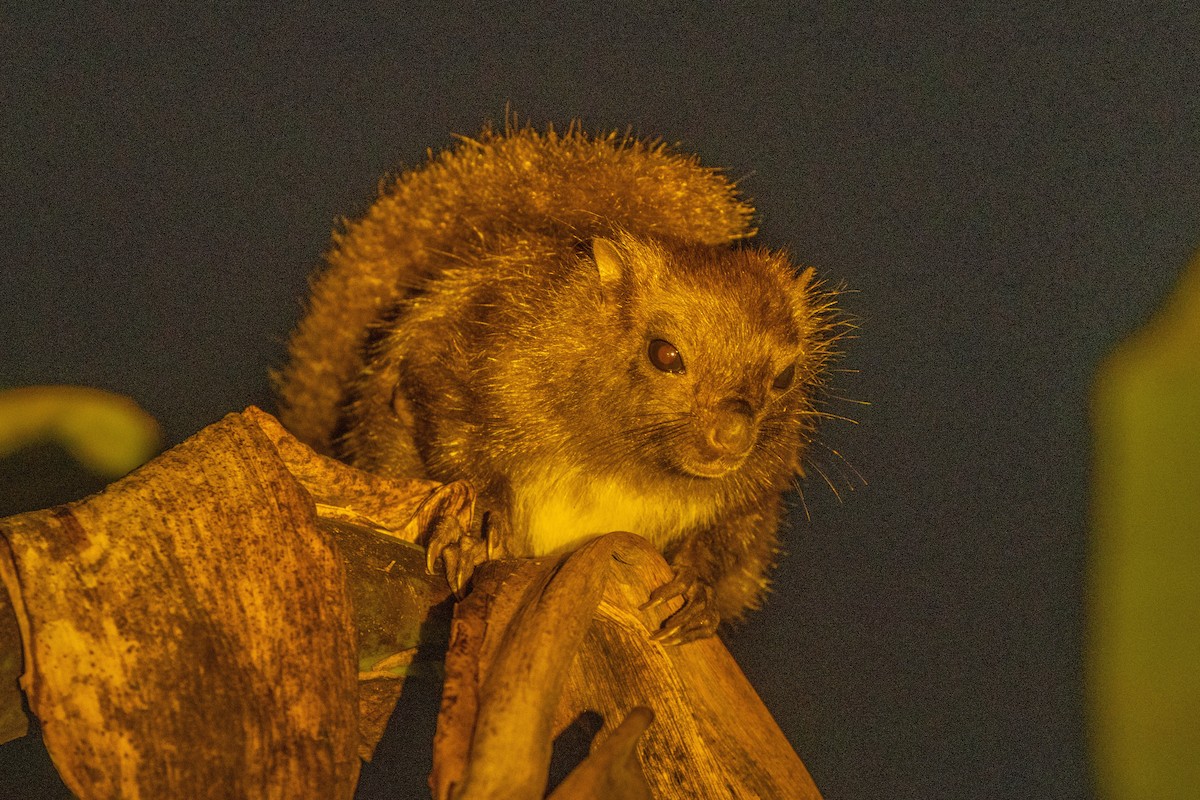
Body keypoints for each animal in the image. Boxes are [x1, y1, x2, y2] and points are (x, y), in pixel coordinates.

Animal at [277, 121, 843, 643]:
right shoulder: (468, 355)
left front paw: (696, 590)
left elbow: (731, 539)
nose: (733, 434)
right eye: (665, 354)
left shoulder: (757, 489)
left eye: (785, 376)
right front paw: (475, 525)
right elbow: (449, 427)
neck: (622, 463)